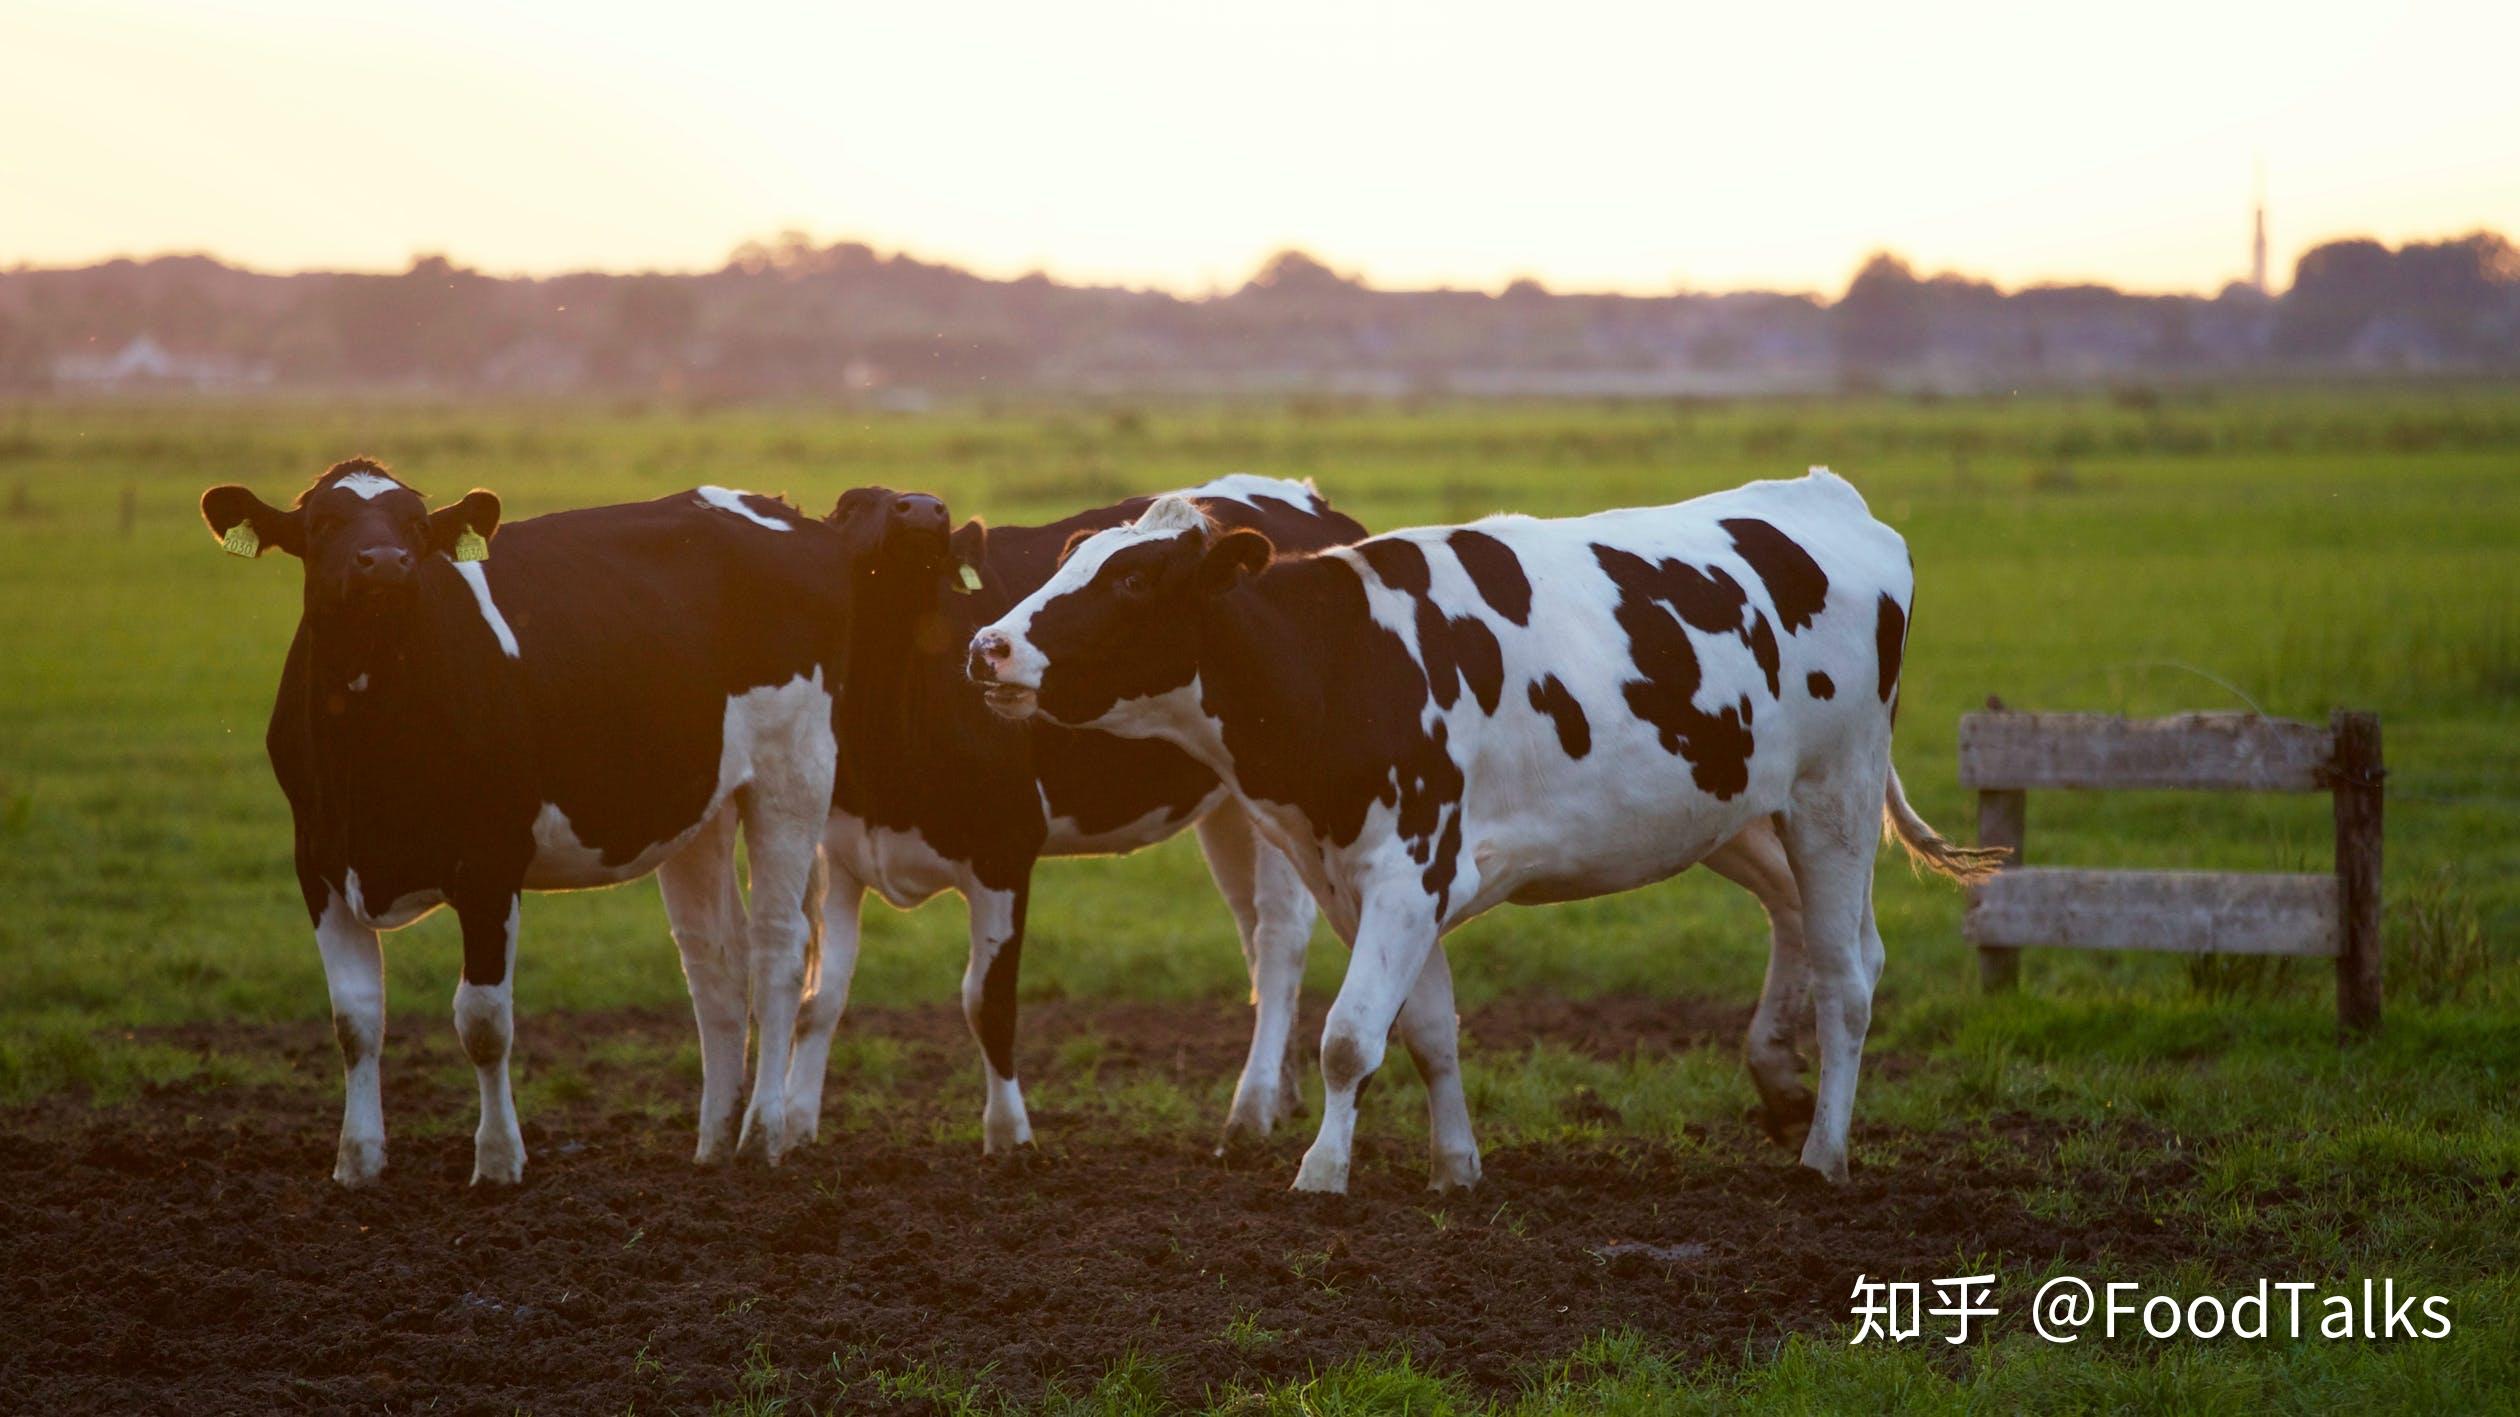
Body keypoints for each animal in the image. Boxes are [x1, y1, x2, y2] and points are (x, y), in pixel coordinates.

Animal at [199, 461, 846, 1179]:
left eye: (416, 526)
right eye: (323, 524)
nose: (386, 563)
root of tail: (779, 509)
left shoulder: (490, 863)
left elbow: (483, 1021)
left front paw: (499, 1160)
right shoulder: (318, 862)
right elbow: (355, 1020)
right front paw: (358, 1162)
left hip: (794, 772)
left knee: (778, 949)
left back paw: (762, 1134)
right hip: (700, 805)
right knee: (715, 960)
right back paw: (712, 1143)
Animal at [786, 474, 1370, 1149]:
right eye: (851, 505)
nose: (925, 510)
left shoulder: (1004, 848)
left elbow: (988, 1002)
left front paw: (1010, 1138)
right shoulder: (839, 853)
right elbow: (819, 998)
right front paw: (789, 1129)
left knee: (1278, 940)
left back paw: (1250, 1111)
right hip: (1232, 808)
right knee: (1252, 933)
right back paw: (1281, 1094)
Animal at [967, 468, 2005, 1185]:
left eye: (1136, 581)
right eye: (1068, 561)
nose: (988, 645)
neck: (1344, 659)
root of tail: (1829, 497)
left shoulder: (1408, 868)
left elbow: (1349, 1036)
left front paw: (1321, 1172)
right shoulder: (1372, 881)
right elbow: (1427, 1030)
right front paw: (1454, 1166)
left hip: (1835, 795)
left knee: (1847, 978)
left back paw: (1825, 1152)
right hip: (1736, 808)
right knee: (1819, 930)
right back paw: (1780, 1081)